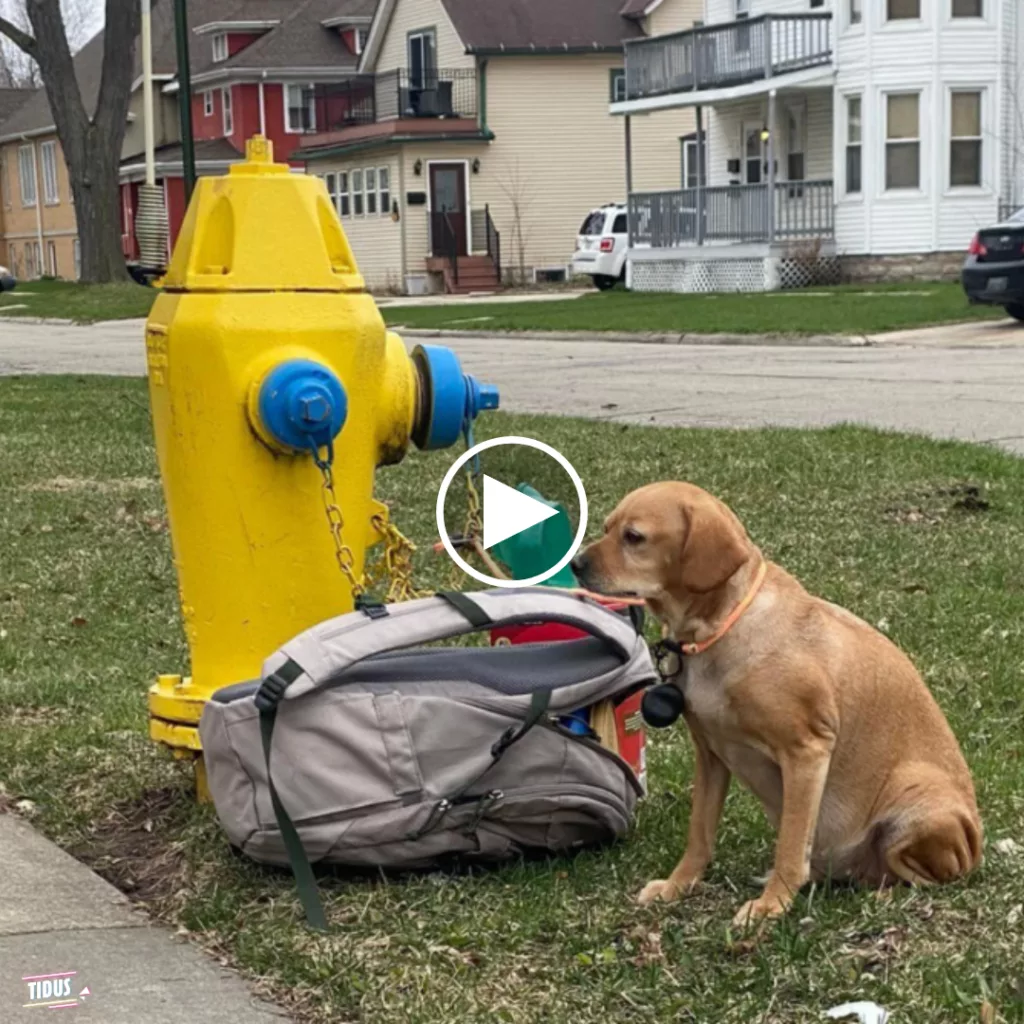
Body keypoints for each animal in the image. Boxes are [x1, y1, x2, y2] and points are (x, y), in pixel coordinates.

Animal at [573, 479, 978, 929]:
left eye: (634, 537)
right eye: (608, 527)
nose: (575, 564)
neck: (718, 629)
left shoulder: (807, 751)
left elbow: (790, 845)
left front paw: (772, 904)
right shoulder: (711, 754)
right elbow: (700, 834)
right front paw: (678, 886)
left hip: (917, 801)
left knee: (923, 877)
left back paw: (883, 897)